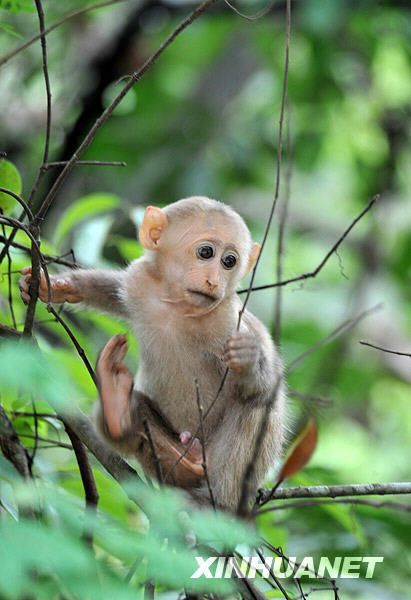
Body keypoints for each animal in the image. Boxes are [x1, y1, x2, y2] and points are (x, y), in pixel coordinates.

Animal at [19, 197, 286, 510]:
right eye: (206, 252)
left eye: (229, 261)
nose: (214, 281)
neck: (179, 308)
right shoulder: (141, 282)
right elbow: (115, 290)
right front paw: (59, 286)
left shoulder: (229, 322)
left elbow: (265, 387)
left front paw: (247, 358)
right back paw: (120, 409)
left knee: (257, 406)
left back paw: (210, 499)